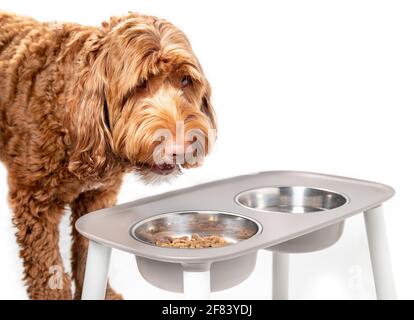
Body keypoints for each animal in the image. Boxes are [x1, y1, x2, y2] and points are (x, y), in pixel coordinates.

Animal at [0, 11, 218, 300]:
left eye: (185, 80)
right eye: (141, 84)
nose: (181, 146)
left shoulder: (98, 197)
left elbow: (88, 252)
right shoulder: (34, 203)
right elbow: (47, 268)